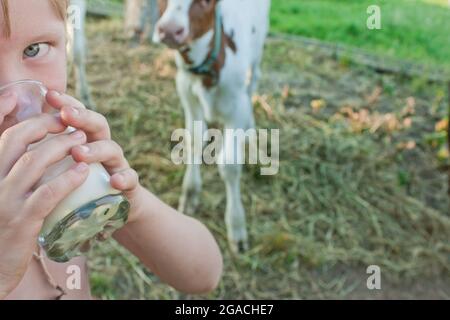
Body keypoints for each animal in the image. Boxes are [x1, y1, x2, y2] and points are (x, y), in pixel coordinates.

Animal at [153, 0, 272, 251]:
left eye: (206, 2)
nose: (169, 30)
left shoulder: (237, 105)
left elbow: (229, 165)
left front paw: (236, 226)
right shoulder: (184, 88)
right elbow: (192, 140)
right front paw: (190, 194)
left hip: (258, 49)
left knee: (255, 78)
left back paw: (250, 128)